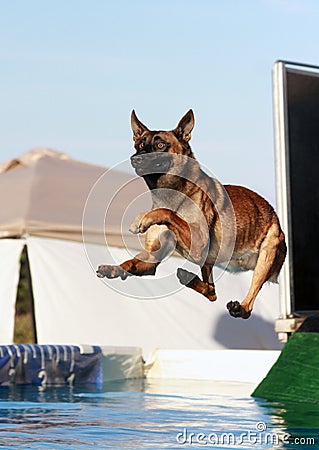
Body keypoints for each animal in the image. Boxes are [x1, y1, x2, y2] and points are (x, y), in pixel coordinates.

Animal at [97, 110, 288, 318]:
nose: (135, 159)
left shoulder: (197, 242)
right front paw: (114, 269)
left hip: (265, 257)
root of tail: (274, 215)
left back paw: (239, 307)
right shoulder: (152, 258)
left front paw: (143, 218)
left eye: (160, 145)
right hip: (209, 263)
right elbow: (131, 263)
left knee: (247, 304)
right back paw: (189, 278)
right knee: (212, 292)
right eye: (140, 145)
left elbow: (167, 213)